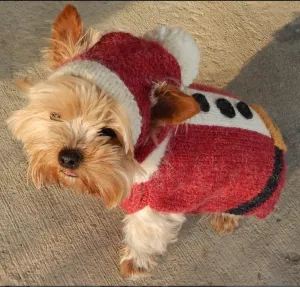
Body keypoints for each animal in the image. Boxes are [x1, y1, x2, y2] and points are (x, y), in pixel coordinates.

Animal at [7, 3, 286, 280]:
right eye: (56, 115)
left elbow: (144, 236)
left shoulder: (154, 208)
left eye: (109, 133)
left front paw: (135, 262)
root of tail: (275, 138)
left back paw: (226, 216)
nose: (67, 157)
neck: (139, 159)